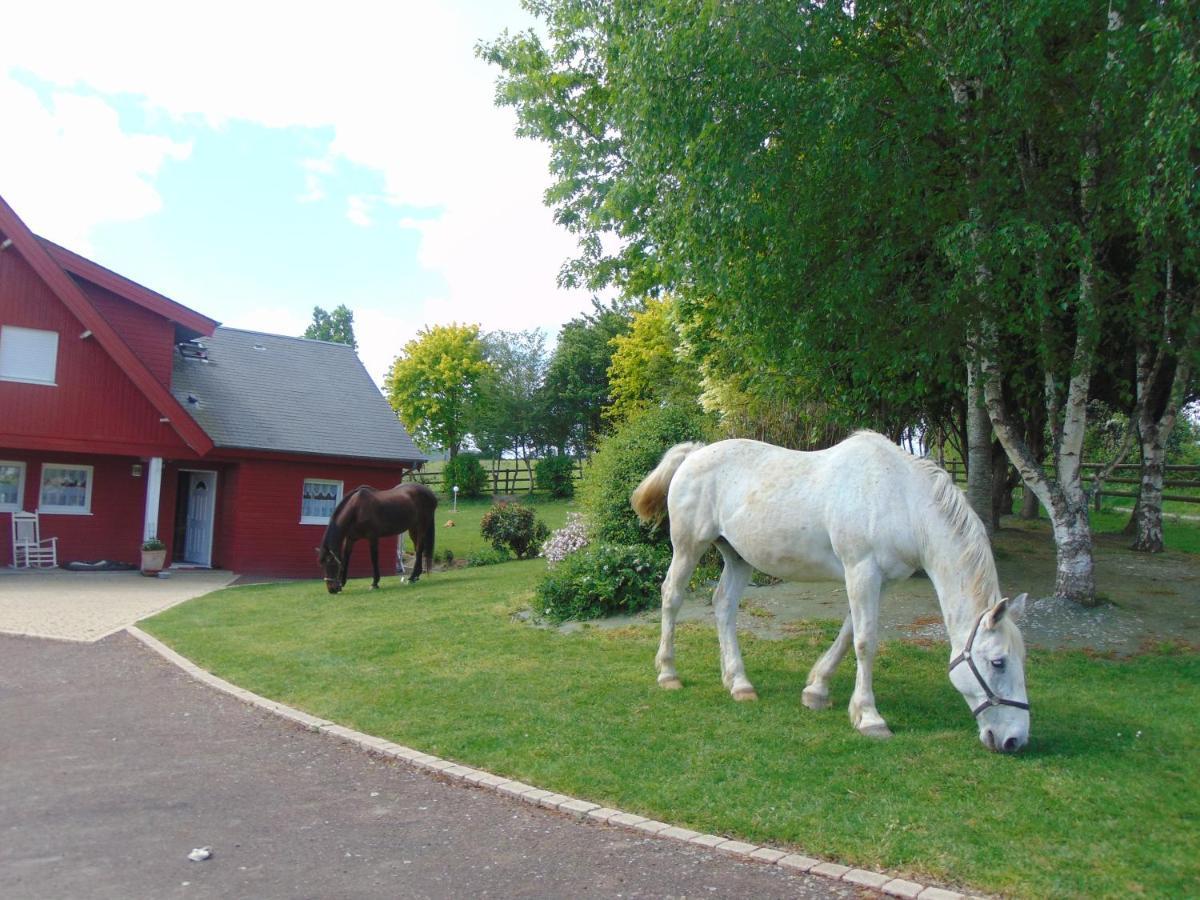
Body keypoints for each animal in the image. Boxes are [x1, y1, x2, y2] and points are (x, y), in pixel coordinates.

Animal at [628, 434, 1032, 758]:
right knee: (672, 597)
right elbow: (866, 642)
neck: (901, 498)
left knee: (724, 606)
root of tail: (695, 453)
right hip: (688, 547)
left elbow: (849, 633)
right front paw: (869, 717)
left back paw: (739, 683)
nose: (1015, 740)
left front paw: (816, 691)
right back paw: (668, 673)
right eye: (998, 662)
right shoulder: (861, 571)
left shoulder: (878, 580)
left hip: (738, 557)